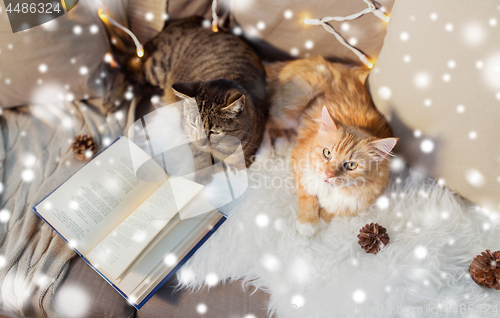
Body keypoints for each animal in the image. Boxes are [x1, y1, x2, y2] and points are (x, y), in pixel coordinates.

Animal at [266, 56, 398, 236]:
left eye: (351, 165)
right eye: (327, 153)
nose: (328, 174)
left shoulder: (353, 202)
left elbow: (331, 211)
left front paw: (320, 223)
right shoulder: (301, 166)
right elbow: (309, 198)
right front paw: (307, 224)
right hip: (294, 104)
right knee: (269, 123)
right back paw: (277, 148)